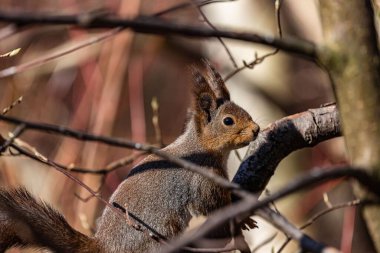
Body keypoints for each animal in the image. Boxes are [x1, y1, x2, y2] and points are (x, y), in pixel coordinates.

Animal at [0, 60, 260, 252]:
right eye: (228, 121)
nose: (257, 130)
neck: (203, 148)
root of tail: (103, 246)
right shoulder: (202, 181)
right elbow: (212, 207)